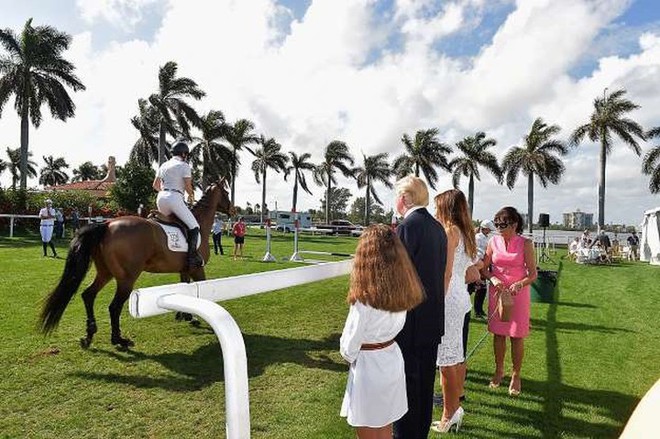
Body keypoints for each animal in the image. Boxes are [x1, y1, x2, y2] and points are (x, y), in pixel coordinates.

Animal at [39, 180, 235, 348]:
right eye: (226, 193)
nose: (233, 210)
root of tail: (107, 225)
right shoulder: (197, 269)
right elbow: (200, 291)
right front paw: (194, 317)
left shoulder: (184, 269)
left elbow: (184, 289)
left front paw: (184, 315)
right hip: (126, 279)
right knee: (114, 307)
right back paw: (119, 339)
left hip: (105, 273)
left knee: (88, 295)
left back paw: (89, 335)